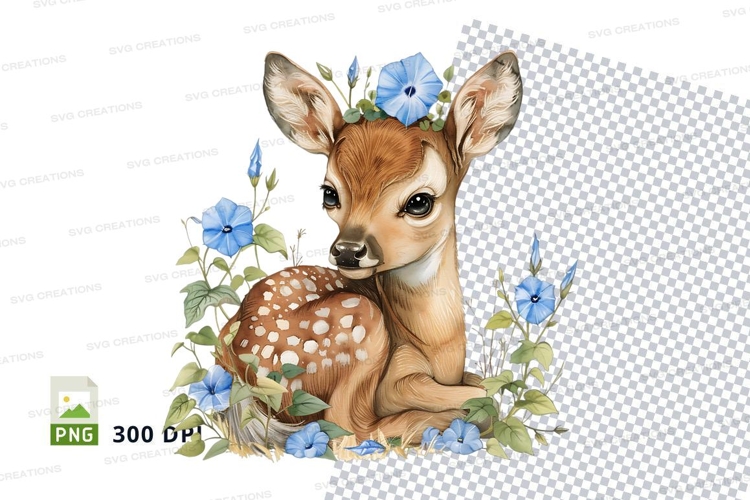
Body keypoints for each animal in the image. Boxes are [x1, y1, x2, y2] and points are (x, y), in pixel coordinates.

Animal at [216, 50, 523, 451]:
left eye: (419, 201)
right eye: (330, 193)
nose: (348, 251)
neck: (436, 346)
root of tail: (234, 362)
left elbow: (481, 385)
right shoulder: (394, 380)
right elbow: (483, 393)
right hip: (357, 325)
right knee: (348, 429)